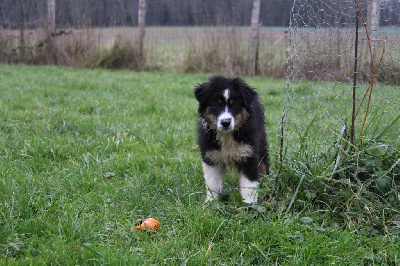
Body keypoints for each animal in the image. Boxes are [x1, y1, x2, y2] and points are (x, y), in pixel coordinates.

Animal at [194, 76, 268, 205]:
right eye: (216, 104)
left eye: (235, 105)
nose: (225, 122)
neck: (227, 136)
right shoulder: (211, 156)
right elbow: (212, 183)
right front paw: (211, 202)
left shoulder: (249, 155)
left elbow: (249, 185)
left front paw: (249, 205)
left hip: (262, 142)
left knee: (264, 164)